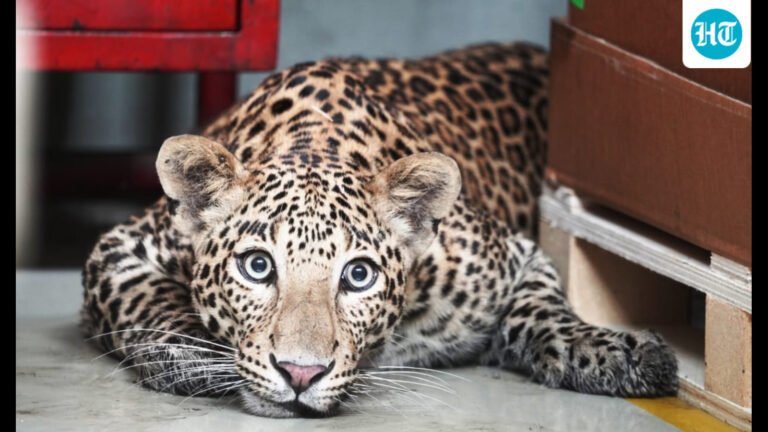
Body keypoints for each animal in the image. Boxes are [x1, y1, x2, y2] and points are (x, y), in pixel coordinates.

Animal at [81, 42, 678, 418]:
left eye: (358, 276)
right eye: (257, 266)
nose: (300, 374)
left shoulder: (517, 258)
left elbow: (547, 312)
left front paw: (616, 352)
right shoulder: (119, 251)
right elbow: (150, 303)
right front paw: (198, 356)